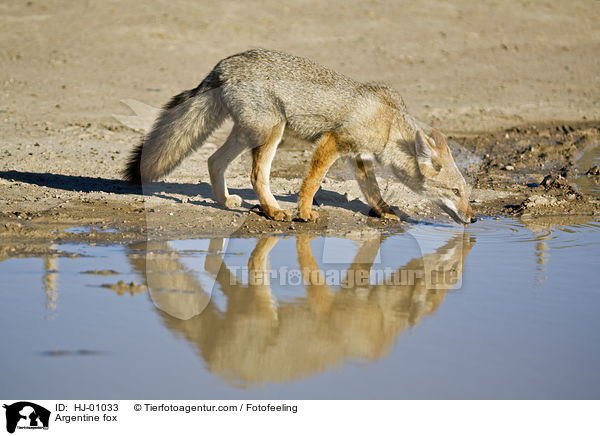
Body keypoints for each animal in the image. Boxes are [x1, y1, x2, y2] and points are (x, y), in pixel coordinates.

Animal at [123, 48, 478, 225]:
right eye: (455, 192)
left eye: (466, 193)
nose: (474, 220)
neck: (390, 123)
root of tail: (224, 64)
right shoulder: (332, 142)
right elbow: (312, 181)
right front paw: (305, 212)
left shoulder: (359, 157)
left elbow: (372, 191)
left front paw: (385, 211)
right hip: (272, 132)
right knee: (256, 175)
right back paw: (273, 211)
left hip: (248, 133)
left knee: (213, 160)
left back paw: (225, 201)